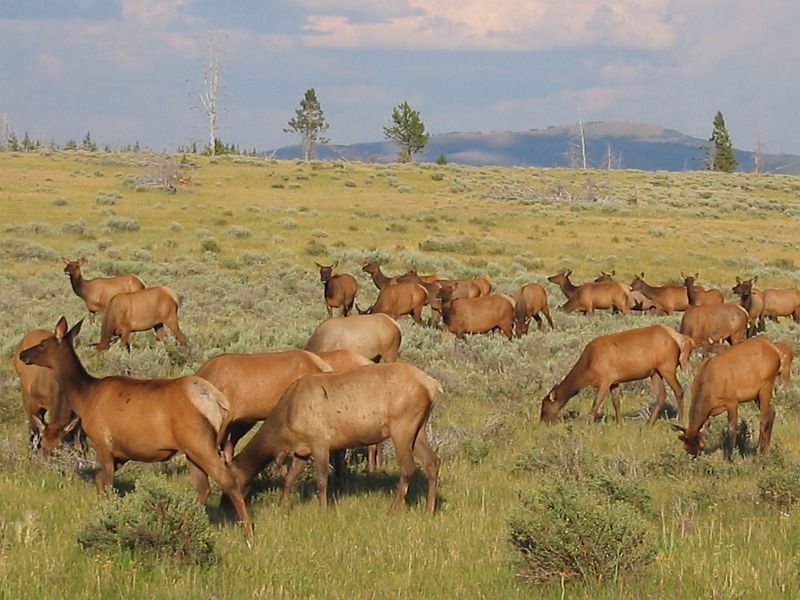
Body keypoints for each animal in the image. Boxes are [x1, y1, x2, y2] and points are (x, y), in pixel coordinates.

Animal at [18, 318, 253, 544]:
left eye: (42, 344)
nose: (22, 354)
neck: (84, 398)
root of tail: (217, 400)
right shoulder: (122, 453)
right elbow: (99, 480)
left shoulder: (102, 442)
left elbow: (106, 483)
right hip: (192, 451)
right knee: (203, 489)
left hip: (199, 443)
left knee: (229, 481)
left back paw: (248, 534)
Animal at [231, 360, 444, 516]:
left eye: (234, 483)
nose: (231, 507)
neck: (286, 423)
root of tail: (433, 385)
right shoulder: (302, 449)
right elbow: (290, 478)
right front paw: (281, 506)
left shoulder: (320, 440)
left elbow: (321, 479)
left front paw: (323, 511)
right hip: (418, 428)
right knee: (432, 461)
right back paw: (429, 510)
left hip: (402, 425)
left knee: (408, 467)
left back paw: (391, 511)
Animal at [540, 324, 696, 426]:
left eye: (545, 407)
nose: (542, 423)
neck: (587, 370)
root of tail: (679, 338)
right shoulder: (614, 381)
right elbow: (616, 403)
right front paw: (619, 423)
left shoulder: (605, 379)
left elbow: (596, 403)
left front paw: (587, 424)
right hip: (655, 372)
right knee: (661, 395)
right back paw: (648, 423)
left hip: (667, 367)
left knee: (679, 391)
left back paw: (680, 422)